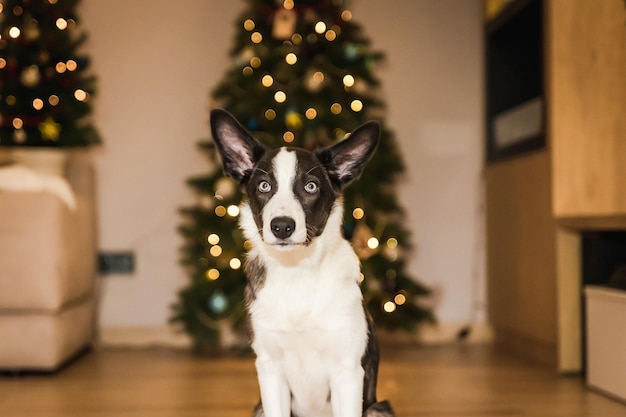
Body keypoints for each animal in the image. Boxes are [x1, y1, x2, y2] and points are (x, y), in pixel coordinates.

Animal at [210, 108, 394, 416]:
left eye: (310, 187)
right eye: (264, 186)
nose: (282, 227)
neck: (296, 271)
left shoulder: (347, 372)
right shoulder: (270, 370)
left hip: (377, 408)